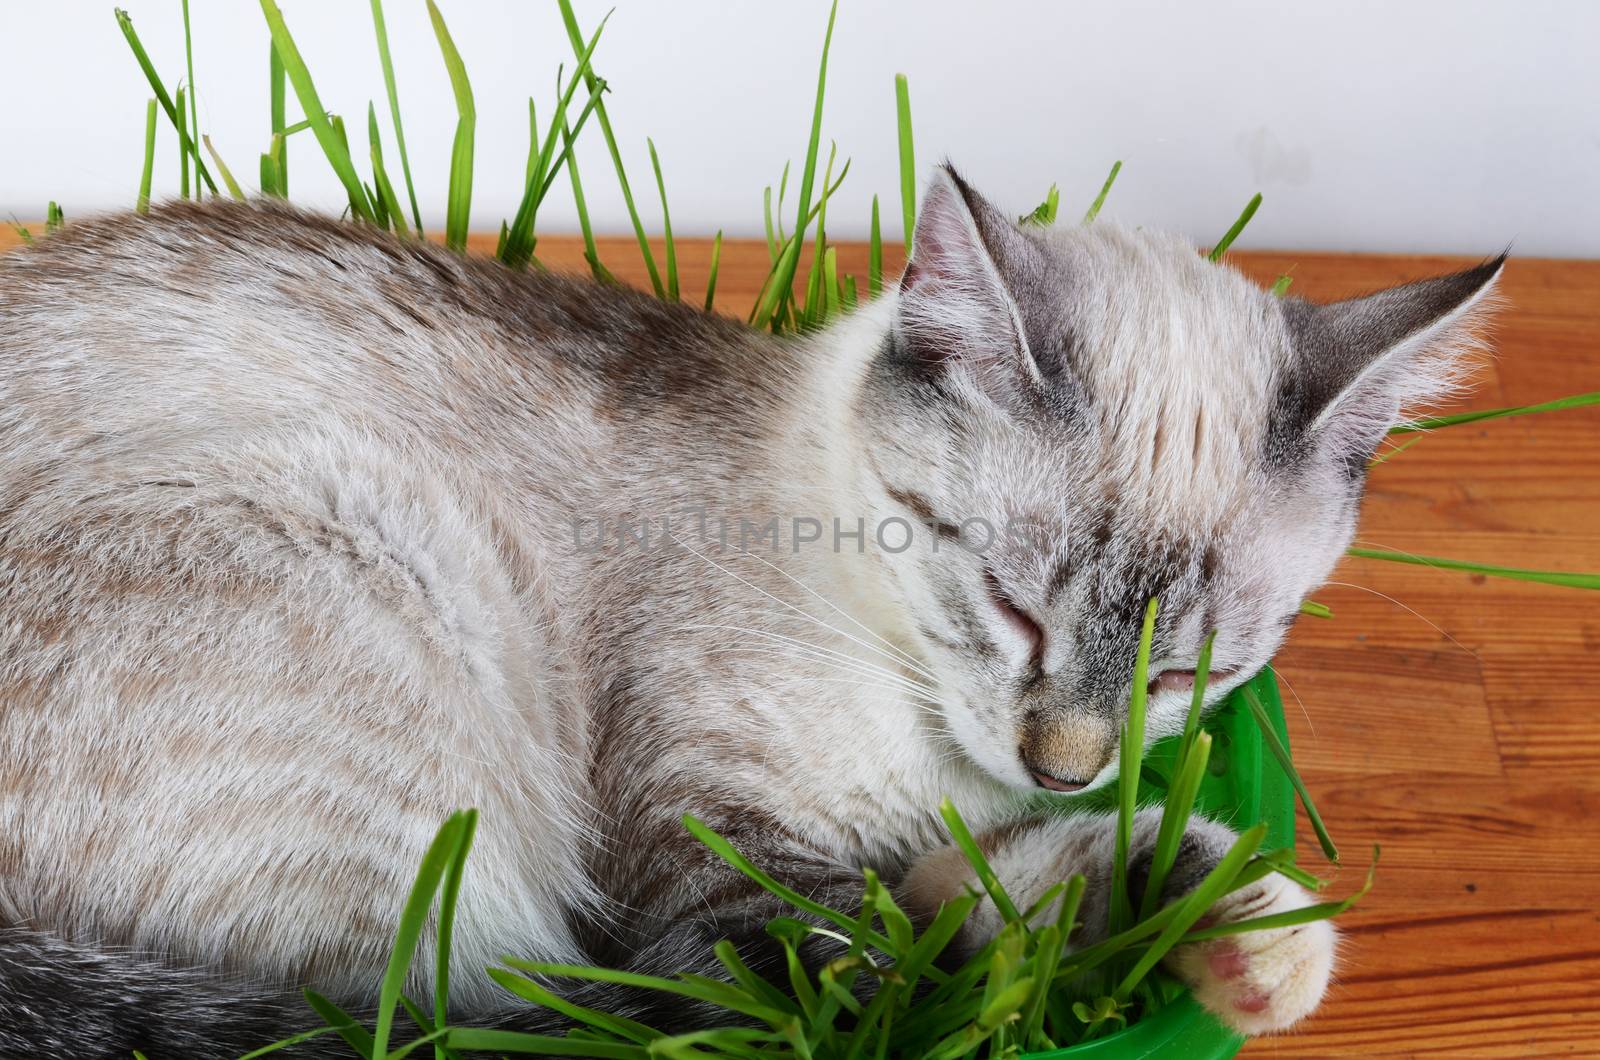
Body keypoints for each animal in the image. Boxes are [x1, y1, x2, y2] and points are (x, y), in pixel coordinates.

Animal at [0, 170, 1497, 1056]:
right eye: (1013, 612)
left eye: (1186, 674)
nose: (1063, 763)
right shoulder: (729, 883)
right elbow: (902, 984)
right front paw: (1233, 941)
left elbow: (1003, 893)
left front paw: (1249, 939)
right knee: (476, 1017)